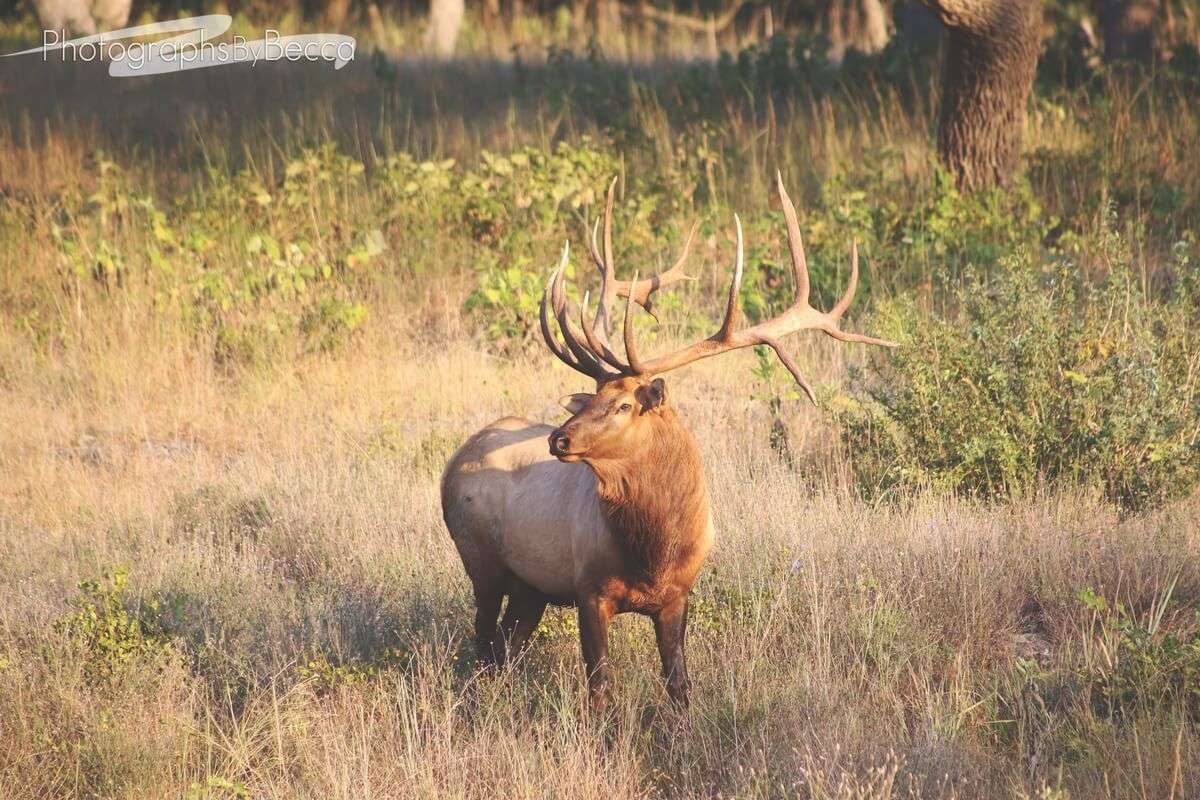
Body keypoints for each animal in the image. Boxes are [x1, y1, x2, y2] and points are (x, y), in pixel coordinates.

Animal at [441, 174, 896, 710]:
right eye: (594, 397)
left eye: (623, 405)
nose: (558, 438)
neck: (653, 553)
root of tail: (457, 458)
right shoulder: (588, 588)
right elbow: (600, 688)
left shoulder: (678, 595)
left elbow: (679, 685)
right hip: (480, 560)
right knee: (482, 644)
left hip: (531, 586)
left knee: (504, 648)